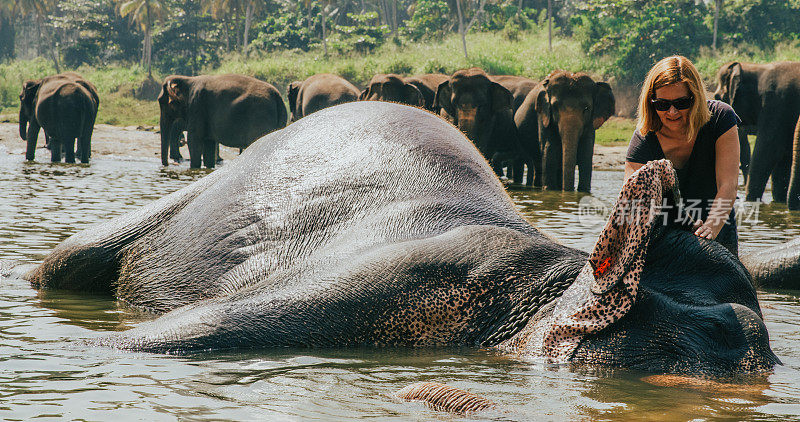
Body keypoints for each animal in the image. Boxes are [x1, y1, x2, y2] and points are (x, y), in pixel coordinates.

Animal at [158, 74, 286, 168]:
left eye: (162, 101)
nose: (169, 165)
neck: (187, 79)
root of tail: (277, 96)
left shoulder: (196, 107)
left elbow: (193, 140)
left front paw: (194, 167)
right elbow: (209, 144)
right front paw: (209, 167)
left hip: (259, 116)